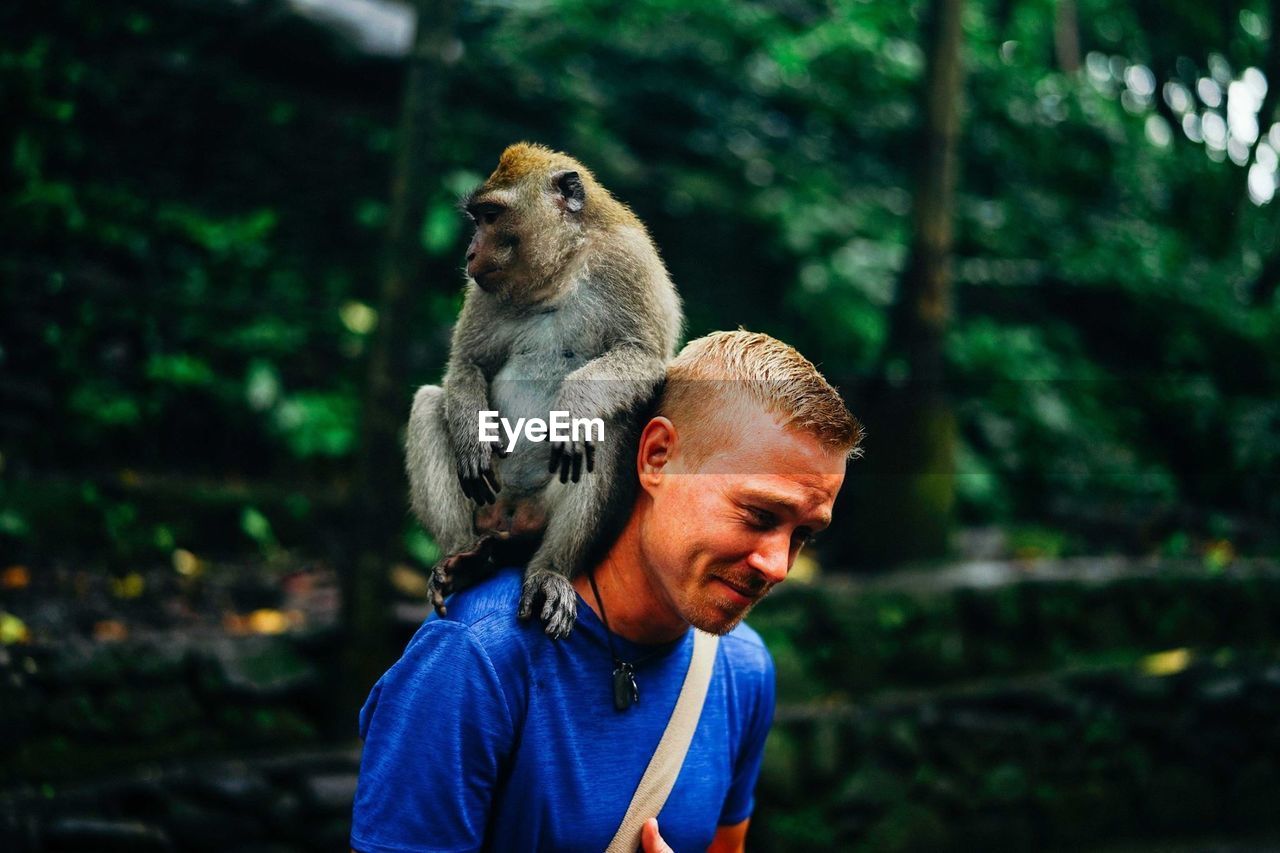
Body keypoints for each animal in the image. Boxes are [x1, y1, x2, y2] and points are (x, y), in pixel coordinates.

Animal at [404, 142, 686, 635]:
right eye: (478, 219)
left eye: (491, 216)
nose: (470, 252)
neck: (561, 270)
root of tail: (512, 516)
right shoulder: (481, 289)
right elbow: (468, 363)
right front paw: (473, 436)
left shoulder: (629, 261)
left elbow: (646, 356)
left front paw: (571, 408)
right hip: (488, 504)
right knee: (428, 404)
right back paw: (464, 558)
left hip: (540, 515)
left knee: (607, 427)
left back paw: (549, 570)